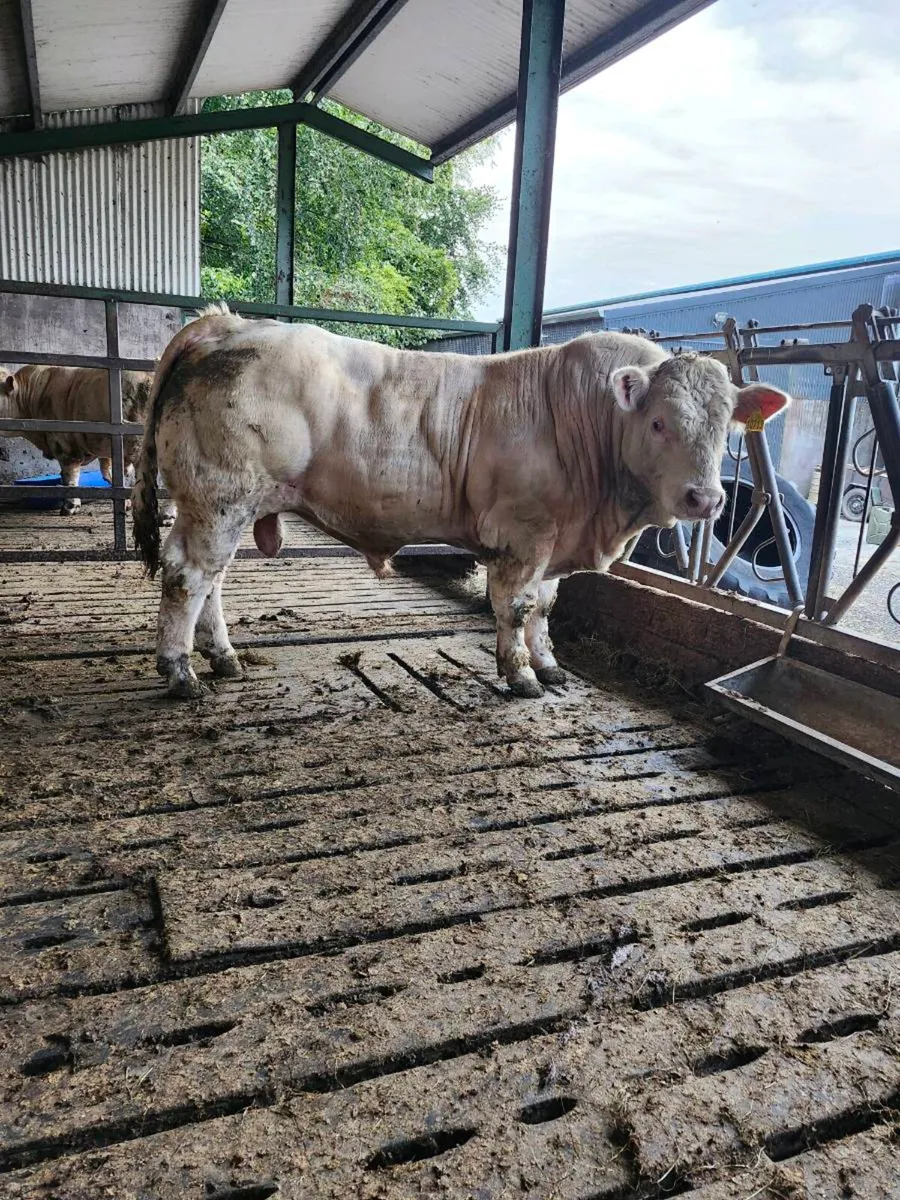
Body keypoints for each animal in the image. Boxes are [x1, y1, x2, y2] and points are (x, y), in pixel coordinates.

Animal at [132, 304, 789, 700]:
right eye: (658, 422)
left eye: (727, 427)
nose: (705, 497)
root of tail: (228, 324)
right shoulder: (524, 535)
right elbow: (517, 608)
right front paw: (520, 674)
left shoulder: (555, 542)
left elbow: (547, 607)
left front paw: (549, 666)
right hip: (218, 498)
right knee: (187, 577)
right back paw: (181, 671)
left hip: (222, 507)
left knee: (211, 581)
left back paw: (223, 658)